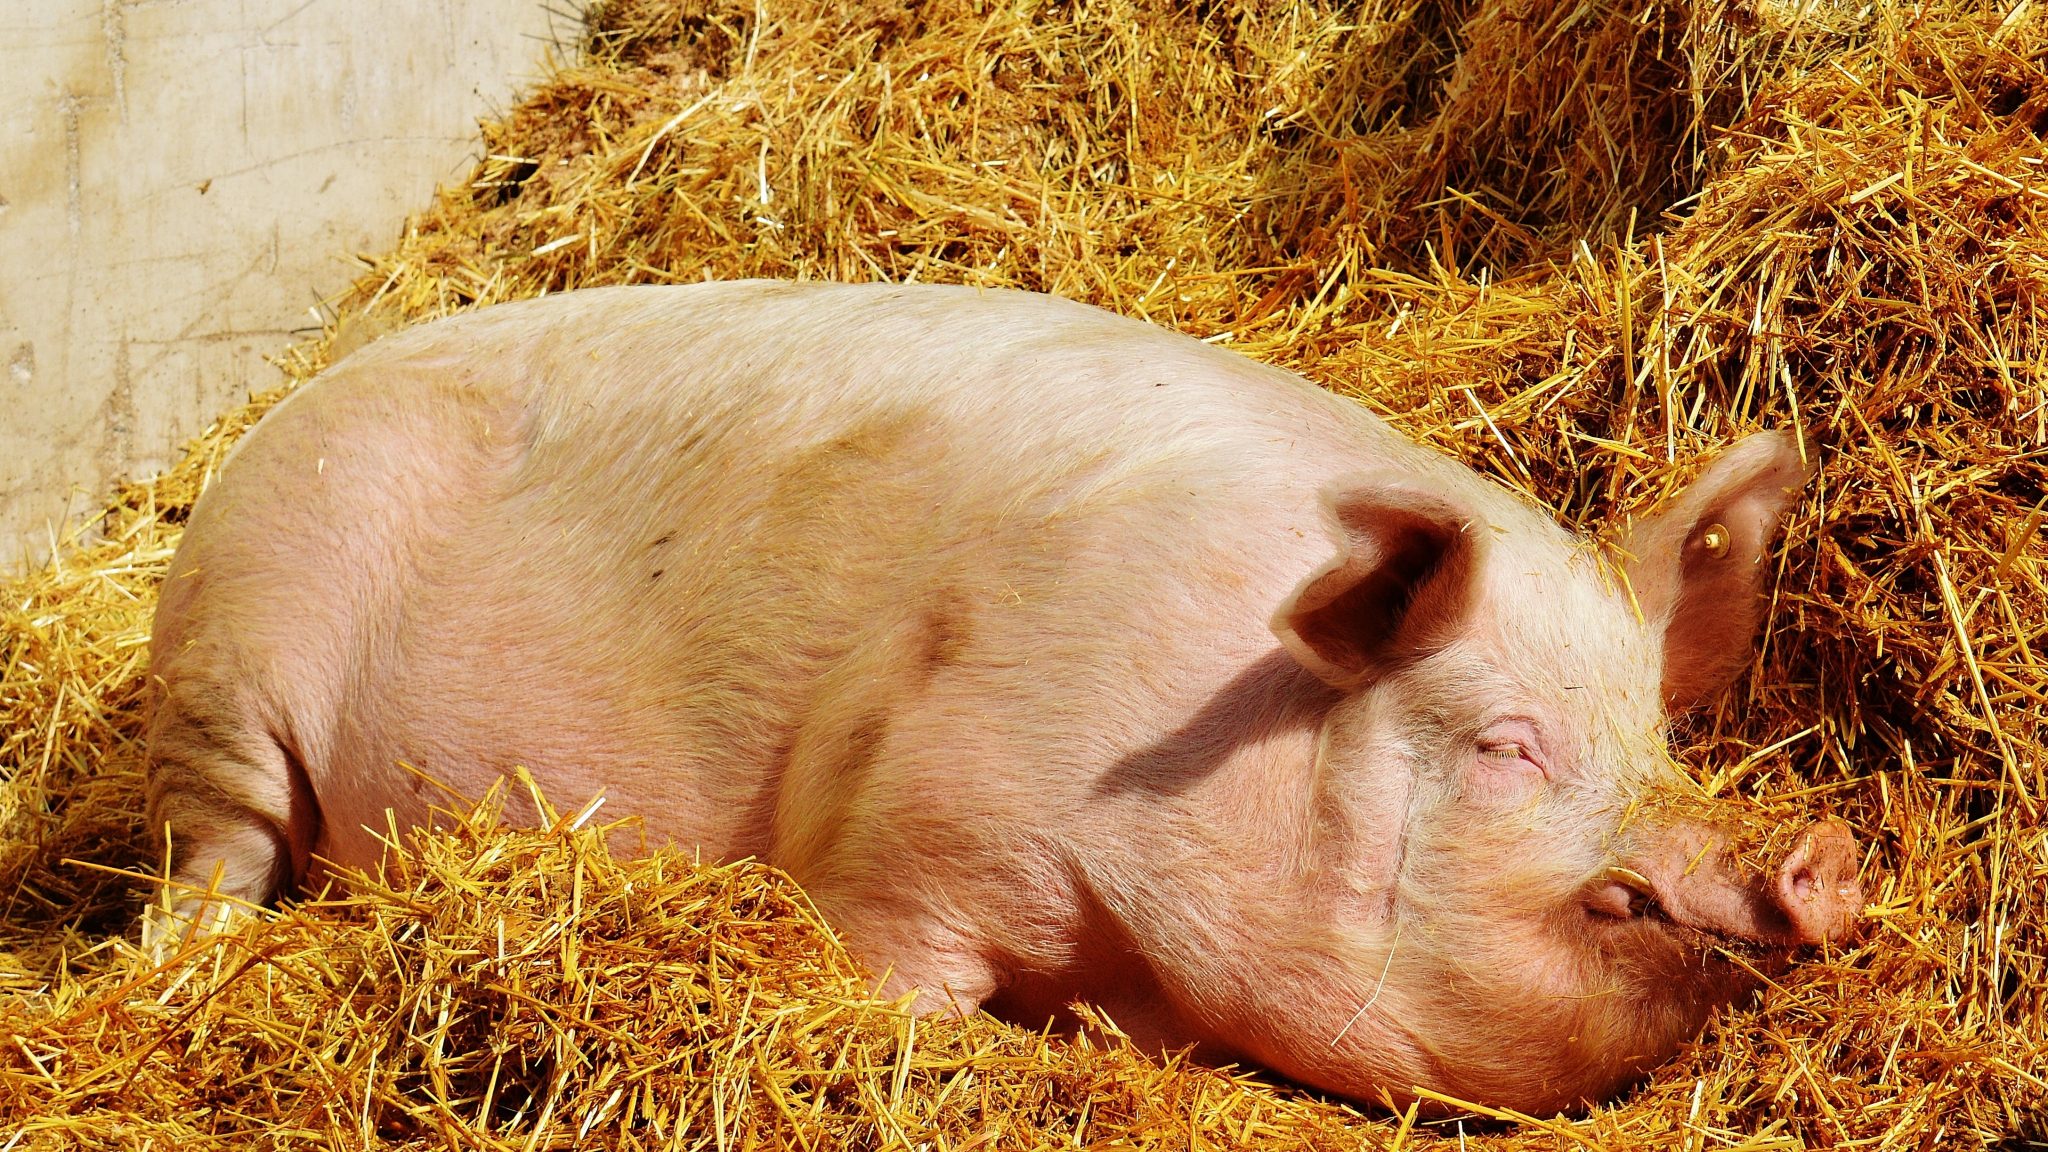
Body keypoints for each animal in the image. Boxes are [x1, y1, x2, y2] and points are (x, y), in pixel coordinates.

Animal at [151, 280, 1867, 1115]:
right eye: (1508, 746)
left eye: (1657, 738)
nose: (1820, 857)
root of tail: (285, 408)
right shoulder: (904, 829)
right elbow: (890, 973)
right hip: (229, 655)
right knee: (208, 858)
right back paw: (196, 960)